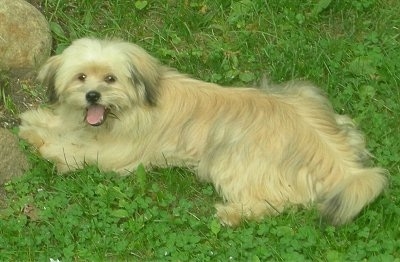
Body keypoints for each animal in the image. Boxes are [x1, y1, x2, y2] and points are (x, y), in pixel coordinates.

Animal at [19, 37, 388, 226]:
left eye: (110, 79)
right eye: (81, 77)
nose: (92, 95)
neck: (130, 109)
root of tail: (341, 162)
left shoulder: (115, 152)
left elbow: (73, 149)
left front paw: (43, 143)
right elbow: (63, 125)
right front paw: (36, 122)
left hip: (232, 162)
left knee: (273, 203)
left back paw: (231, 214)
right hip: (312, 98)